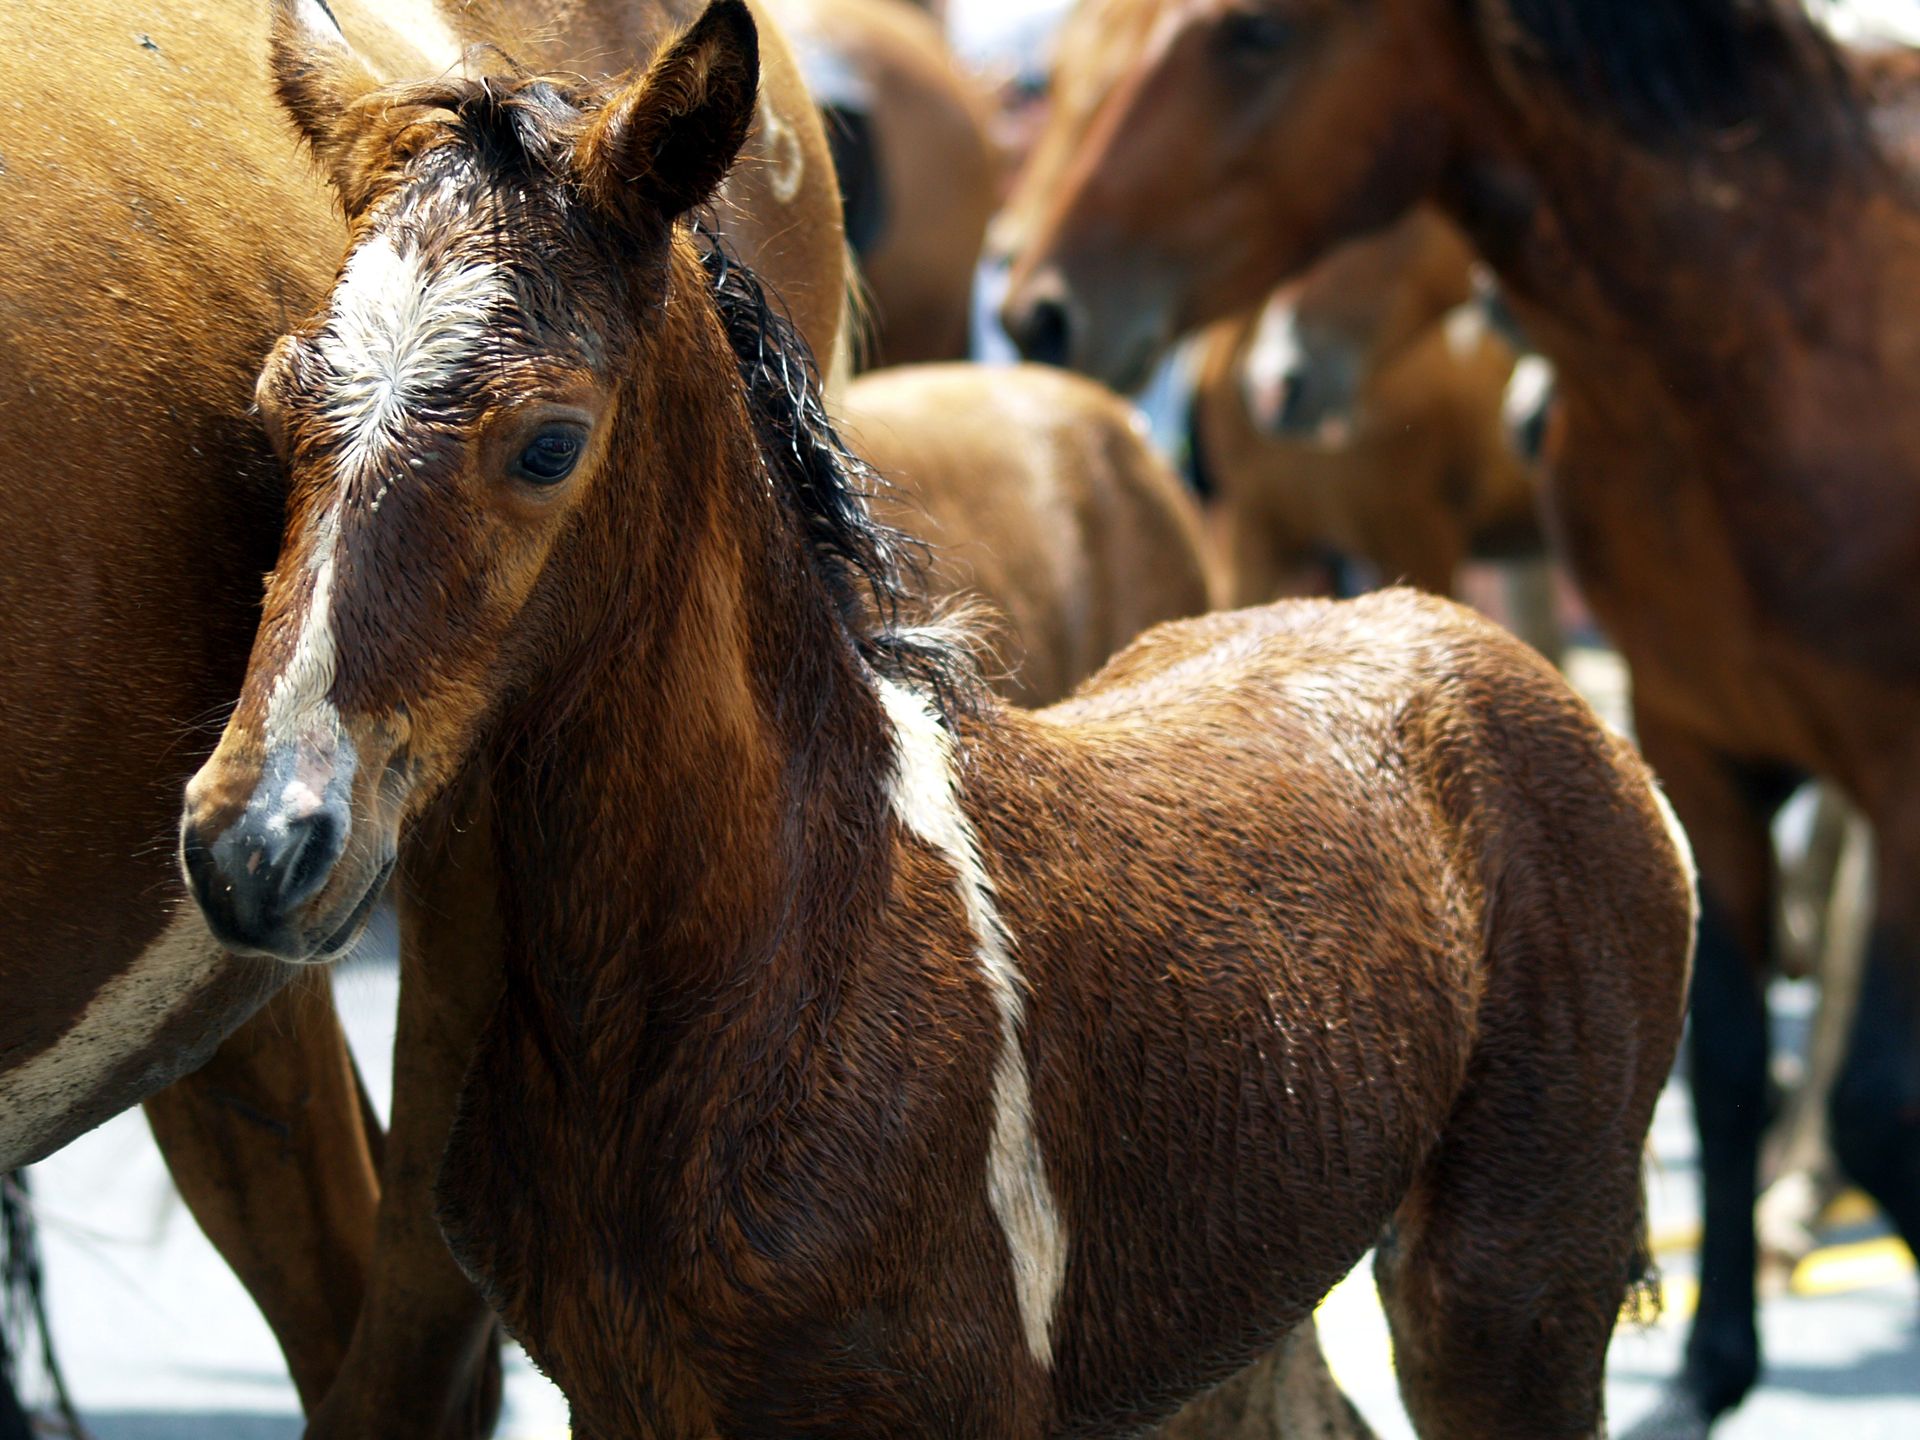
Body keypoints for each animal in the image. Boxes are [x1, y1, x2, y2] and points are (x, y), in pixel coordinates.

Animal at [998, 1, 1920, 1433]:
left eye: (1252, 34)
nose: (1043, 311)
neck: (1770, 340)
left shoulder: (1896, 760)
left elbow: (1881, 1095)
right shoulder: (1698, 736)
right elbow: (1722, 1069)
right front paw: (1710, 1365)